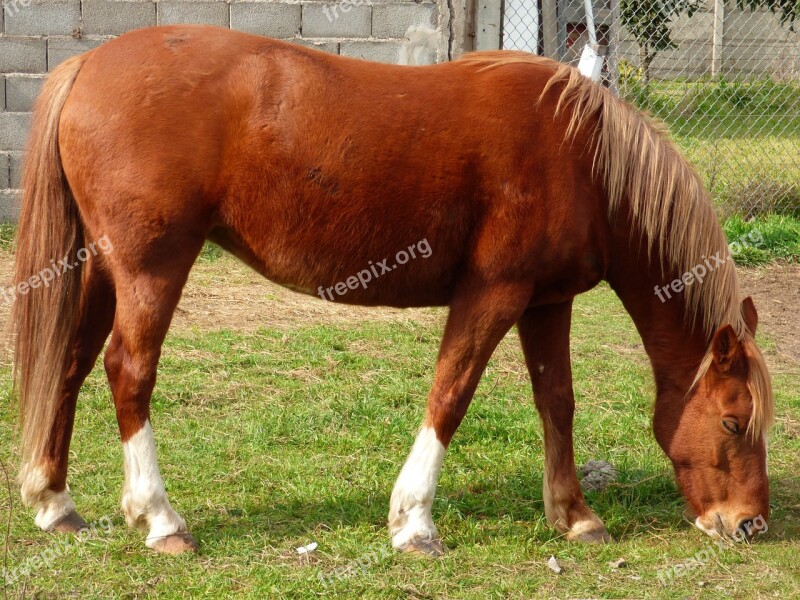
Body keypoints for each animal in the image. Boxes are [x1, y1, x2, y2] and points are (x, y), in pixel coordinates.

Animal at [10, 25, 776, 556]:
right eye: (734, 422)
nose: (750, 525)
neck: (583, 158)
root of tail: (87, 65)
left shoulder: (546, 301)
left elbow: (556, 401)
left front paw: (576, 517)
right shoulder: (493, 293)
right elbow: (451, 393)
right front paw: (414, 522)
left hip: (102, 268)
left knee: (71, 365)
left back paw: (55, 503)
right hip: (152, 267)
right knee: (128, 371)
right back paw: (161, 519)